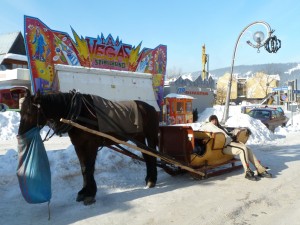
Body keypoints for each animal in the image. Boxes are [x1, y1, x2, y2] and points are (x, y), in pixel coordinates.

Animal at [18, 89, 159, 205]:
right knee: (147, 155)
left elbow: (88, 168)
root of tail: (151, 108)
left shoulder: (91, 145)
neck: (78, 113)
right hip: (139, 138)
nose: (20, 135)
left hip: (150, 135)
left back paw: (152, 179)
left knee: (152, 155)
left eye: (30, 112)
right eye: (20, 112)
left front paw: (90, 194)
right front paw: (84, 191)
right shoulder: (79, 145)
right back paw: (149, 178)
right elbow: (83, 168)